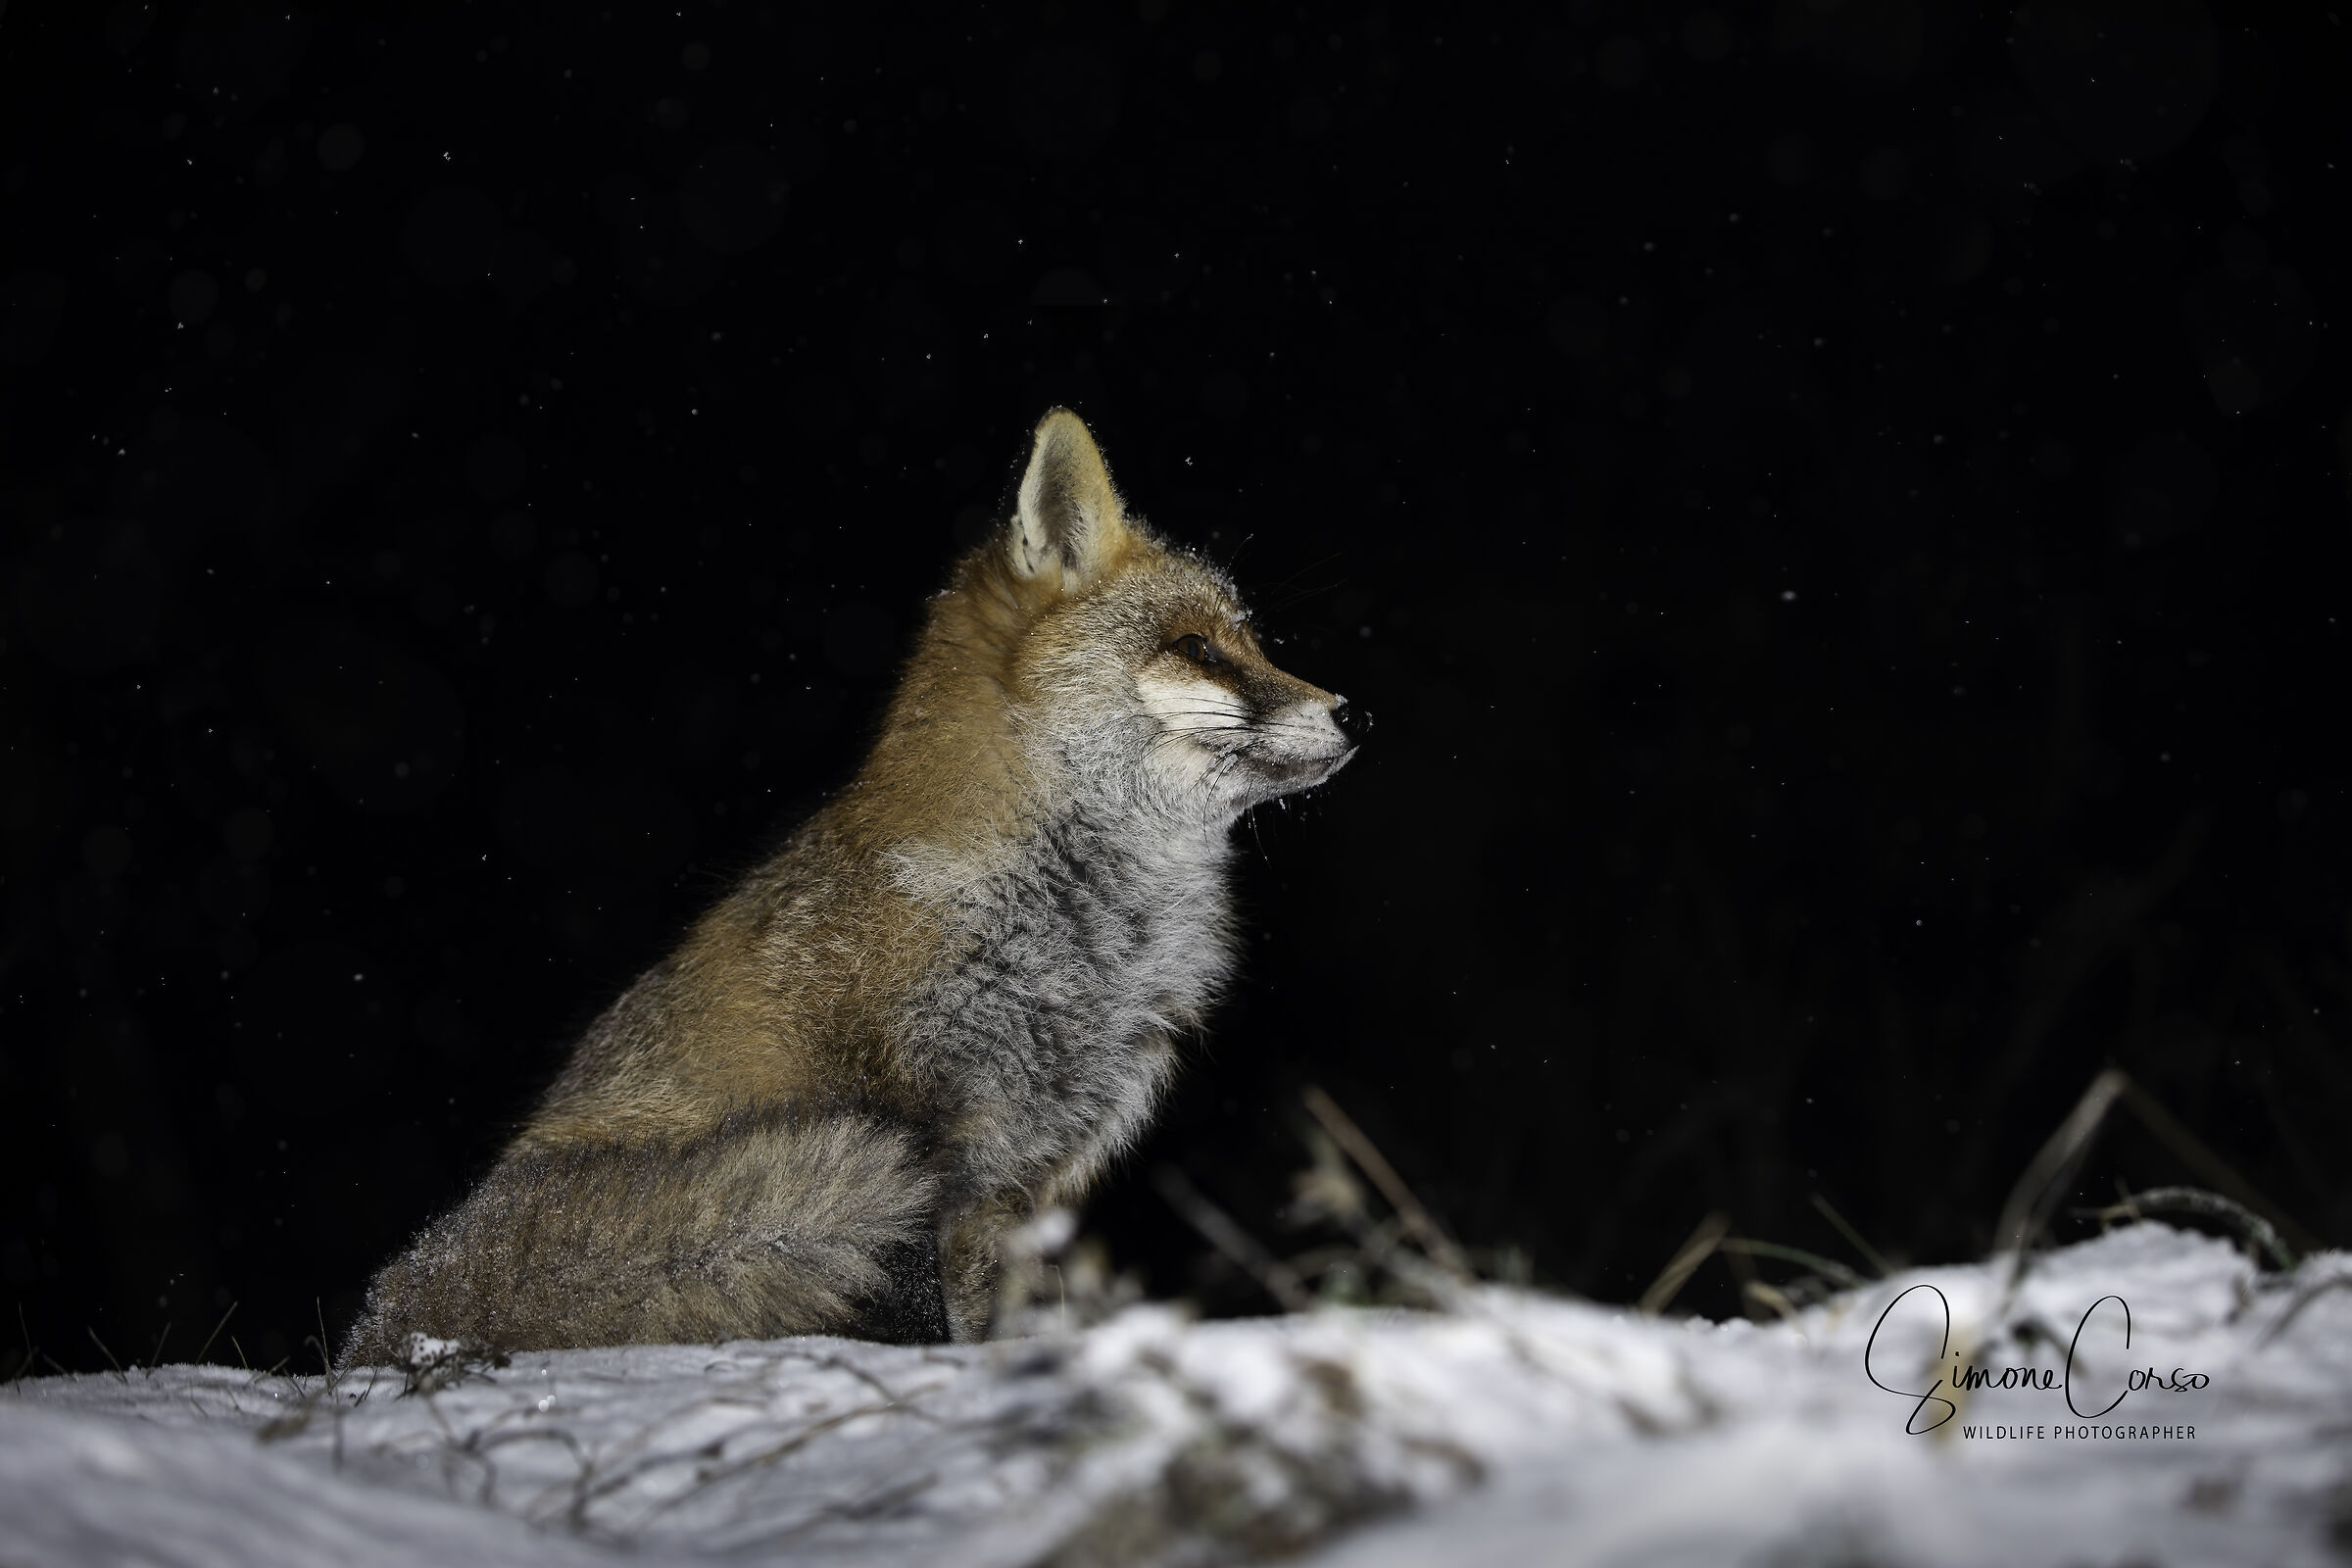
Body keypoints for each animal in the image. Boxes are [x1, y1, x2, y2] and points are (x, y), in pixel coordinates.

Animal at [342, 408, 1361, 1358]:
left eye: (1253, 641)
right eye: (1199, 648)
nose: (1355, 713)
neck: (1078, 935)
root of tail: (382, 1316)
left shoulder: (1035, 1173)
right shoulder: (899, 1118)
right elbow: (919, 1309)